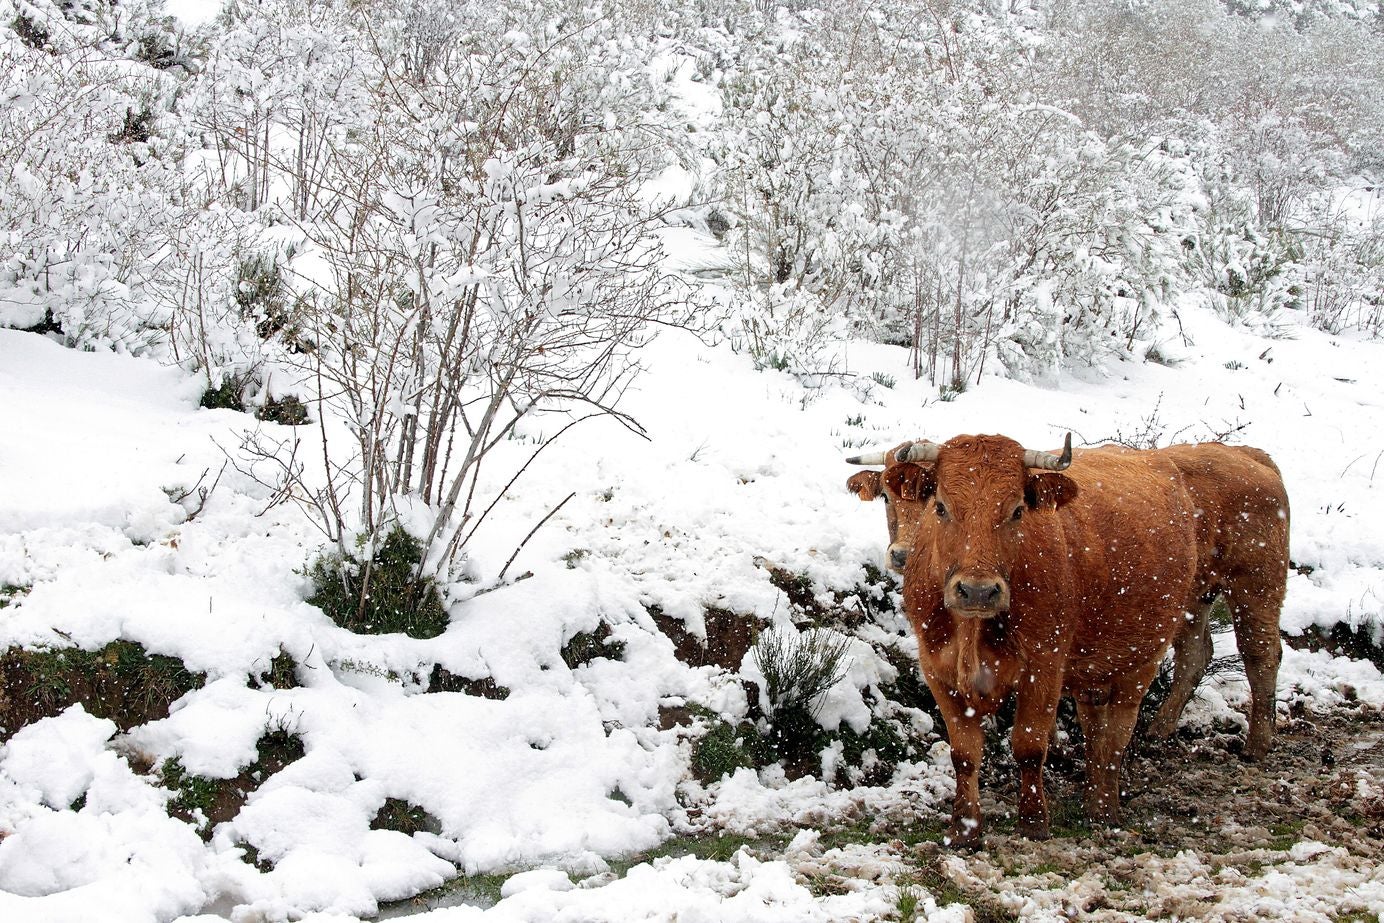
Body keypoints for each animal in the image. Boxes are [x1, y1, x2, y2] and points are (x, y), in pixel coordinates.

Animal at [847, 434, 1240, 846]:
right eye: (941, 506)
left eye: (1018, 510)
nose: (977, 590)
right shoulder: (938, 671)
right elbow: (964, 753)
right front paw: (964, 828)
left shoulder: (1044, 667)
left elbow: (1030, 746)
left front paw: (1033, 821)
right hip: (1092, 670)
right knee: (1095, 730)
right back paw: (1093, 800)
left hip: (1144, 657)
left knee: (1118, 734)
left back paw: (1106, 809)